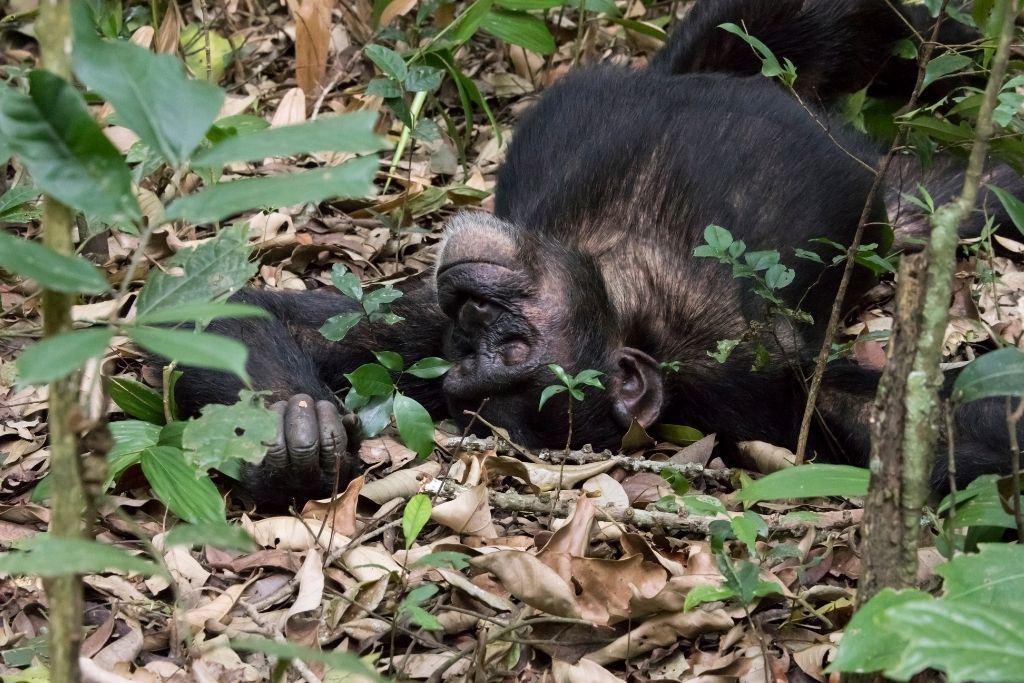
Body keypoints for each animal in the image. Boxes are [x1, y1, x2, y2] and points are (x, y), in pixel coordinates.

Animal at [174, 0, 1024, 505]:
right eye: (470, 357)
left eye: (511, 344)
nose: (473, 313)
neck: (629, 288)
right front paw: (293, 431)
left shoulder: (757, 365)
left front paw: (288, 430)